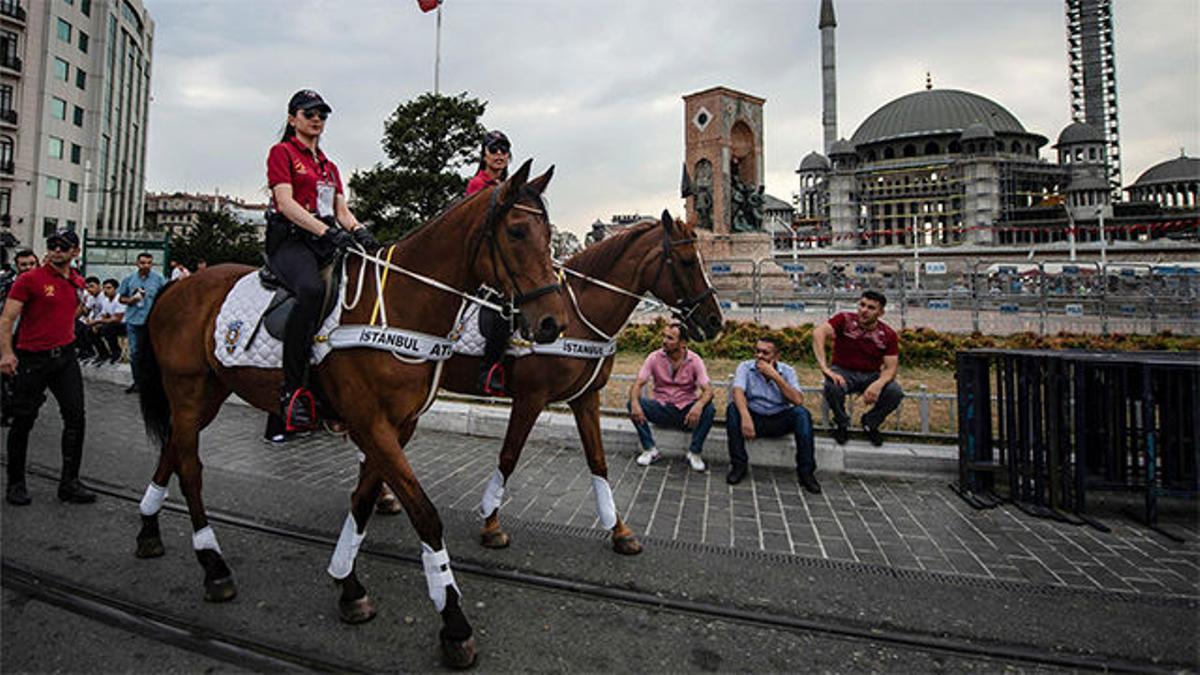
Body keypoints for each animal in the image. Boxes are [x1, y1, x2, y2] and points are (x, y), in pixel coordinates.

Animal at [133, 158, 564, 667]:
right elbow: (424, 514)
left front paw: (348, 585)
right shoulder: (370, 422)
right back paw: (213, 566)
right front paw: (453, 622)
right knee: (192, 469)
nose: (553, 322)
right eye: (517, 231)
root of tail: (177, 285)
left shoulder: (398, 426)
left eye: (549, 233)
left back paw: (149, 530)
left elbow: (362, 499)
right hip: (186, 389)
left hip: (207, 394)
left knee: (173, 452)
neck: (402, 304)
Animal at [369, 210, 715, 552]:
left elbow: (598, 461)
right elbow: (508, 457)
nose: (715, 320)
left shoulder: (586, 397)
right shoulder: (530, 398)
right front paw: (491, 525)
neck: (577, 317)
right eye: (687, 261)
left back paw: (382, 498)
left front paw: (619, 530)